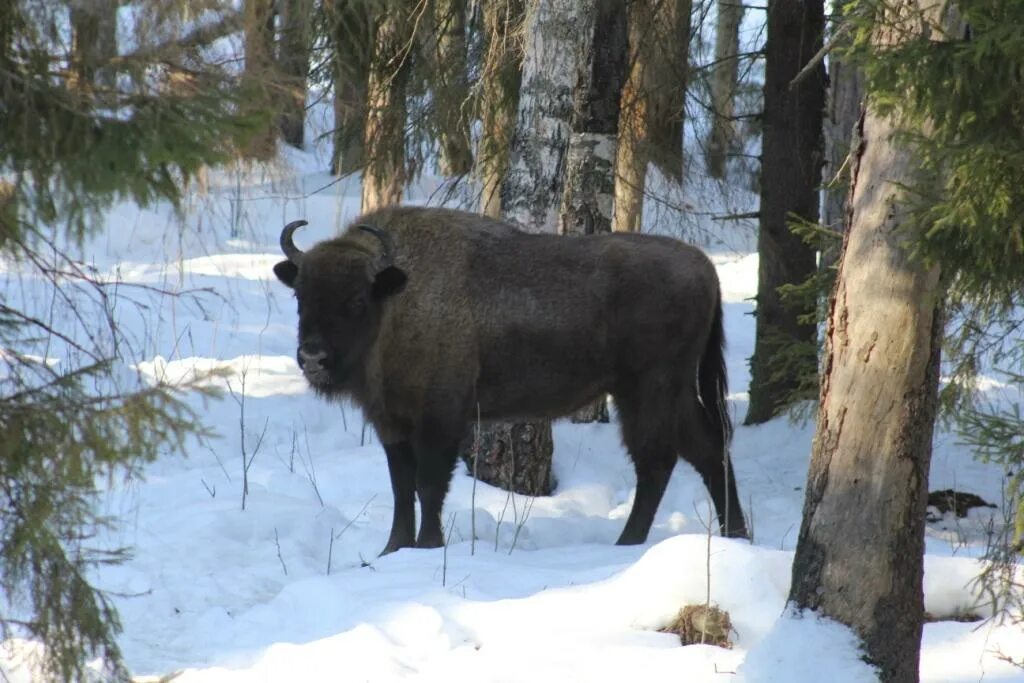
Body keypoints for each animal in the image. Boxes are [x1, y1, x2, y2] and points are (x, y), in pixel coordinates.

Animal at [276, 205, 749, 552]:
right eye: (300, 297)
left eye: (356, 300)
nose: (312, 357)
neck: (397, 298)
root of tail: (705, 267)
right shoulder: (391, 424)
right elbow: (401, 488)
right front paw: (392, 550)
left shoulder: (440, 421)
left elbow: (428, 486)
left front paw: (427, 546)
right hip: (673, 392)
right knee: (708, 452)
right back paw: (737, 535)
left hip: (646, 390)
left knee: (657, 461)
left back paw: (627, 542)